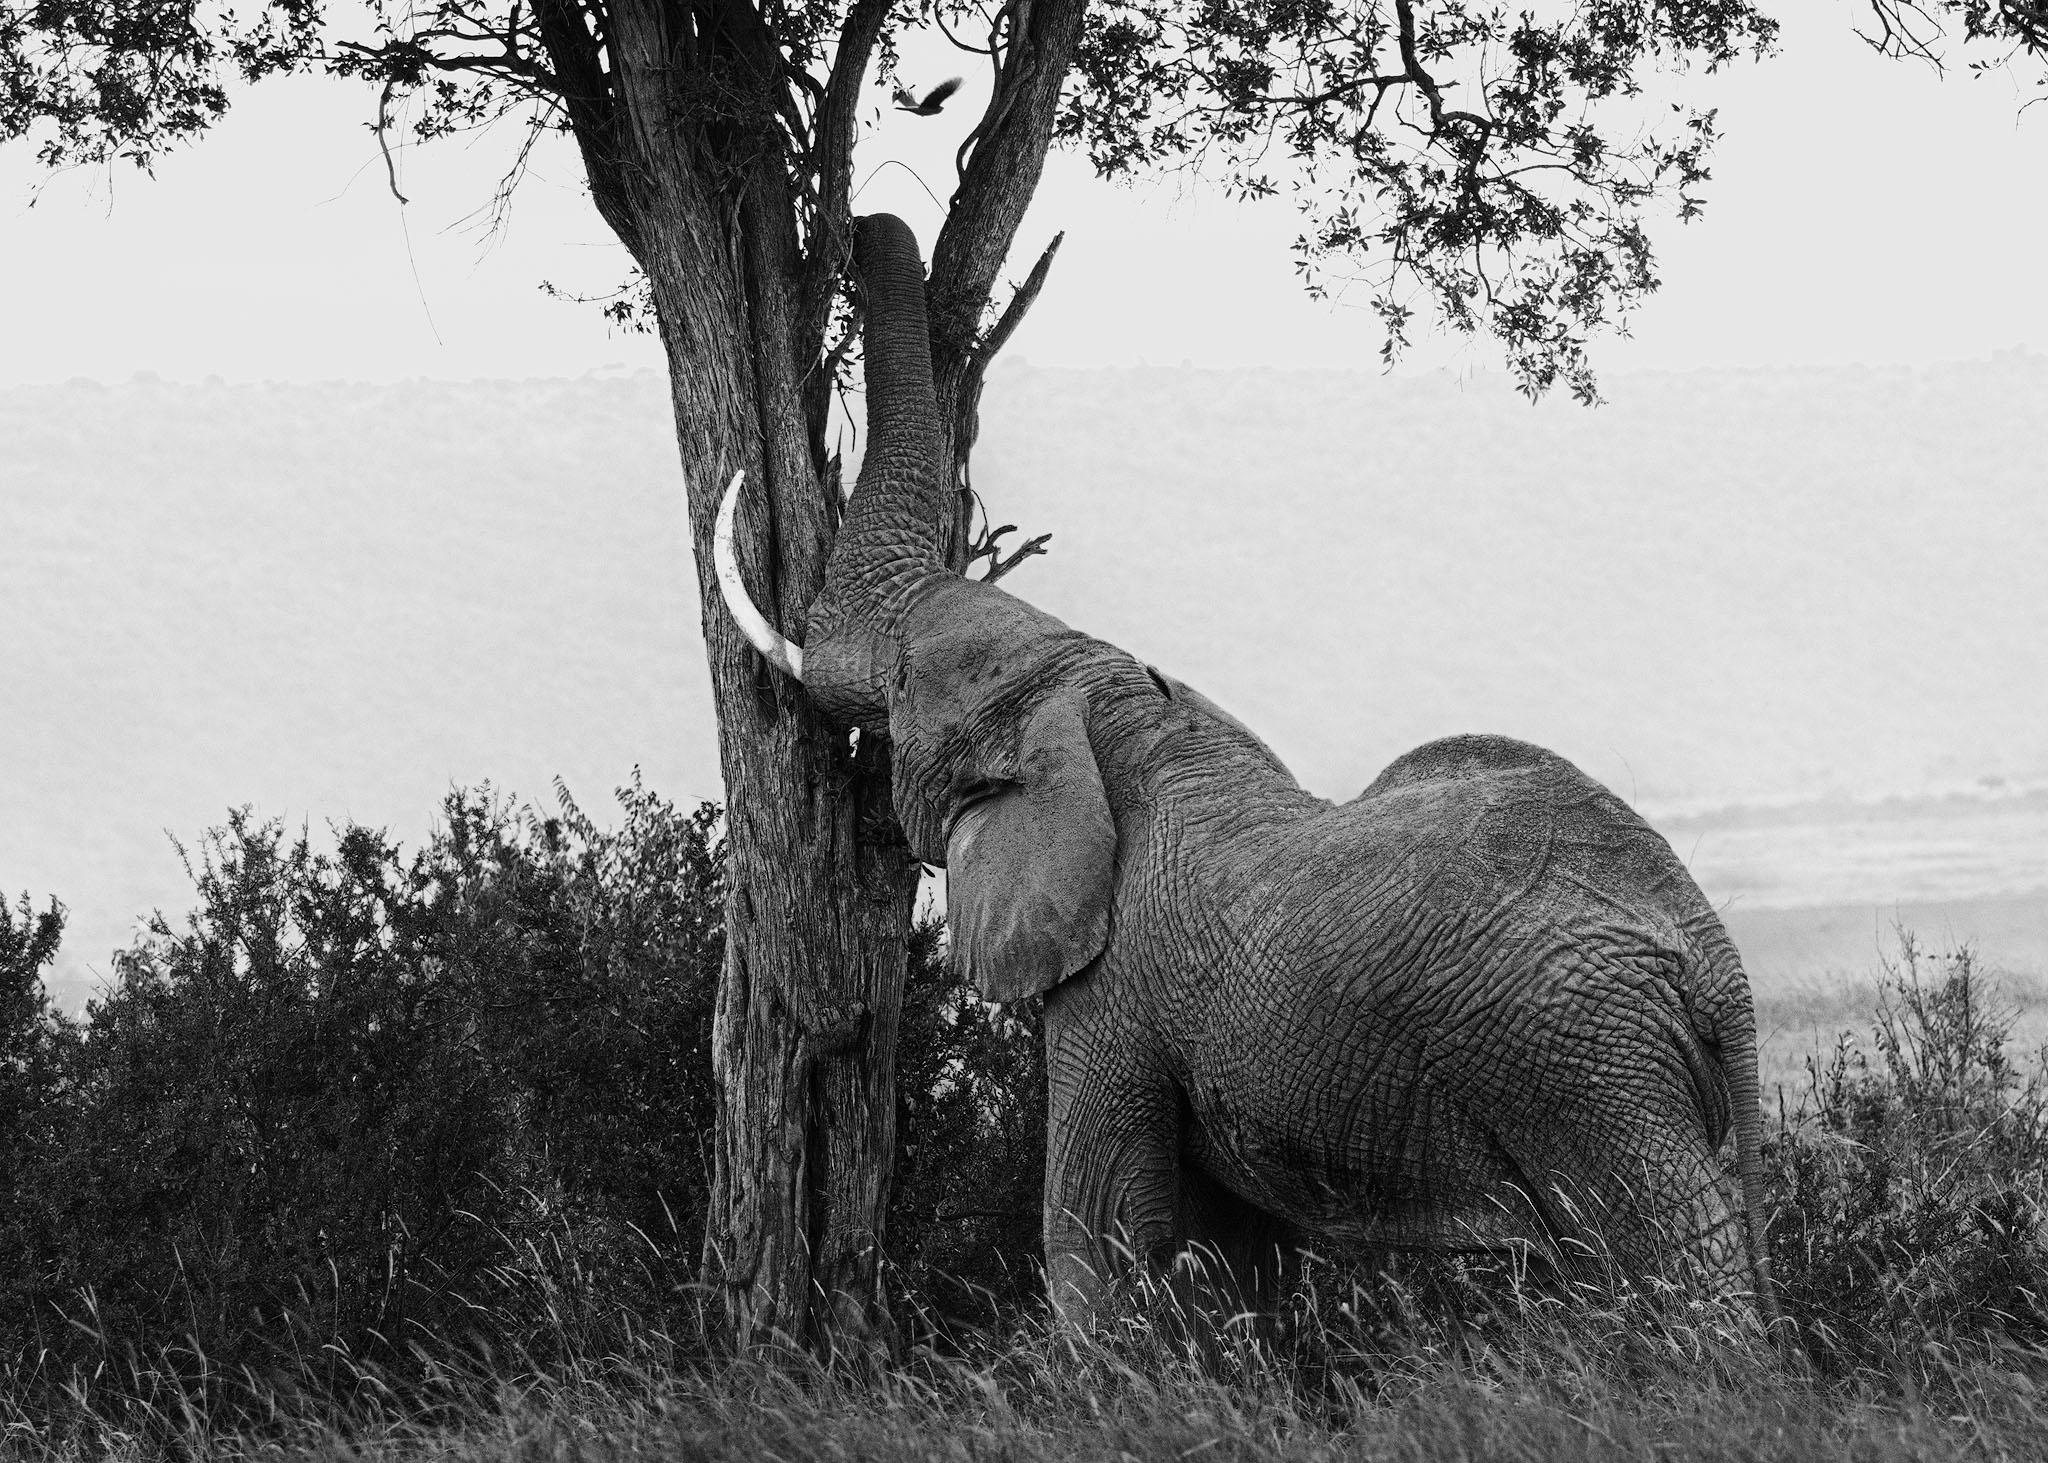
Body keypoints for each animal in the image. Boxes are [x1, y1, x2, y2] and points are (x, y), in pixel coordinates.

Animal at [713, 211, 1778, 1327]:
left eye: (904, 677)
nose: (857, 224)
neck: (1100, 696)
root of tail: (1719, 966)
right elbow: (1237, 1257)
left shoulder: (1113, 991)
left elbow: (1095, 1234)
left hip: (1589, 1063)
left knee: (1677, 1266)